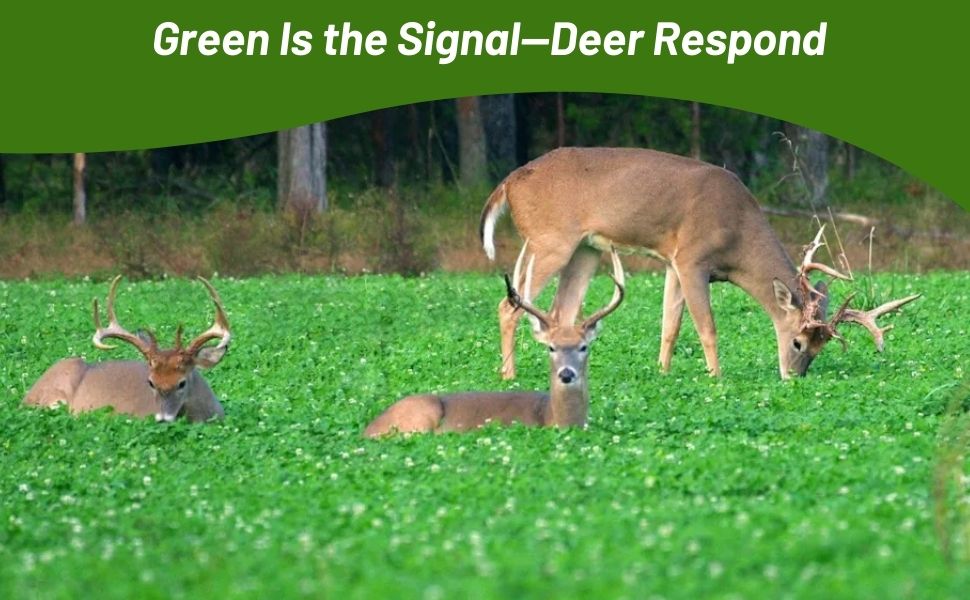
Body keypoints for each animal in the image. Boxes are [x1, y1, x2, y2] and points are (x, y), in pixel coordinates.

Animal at [363, 245, 625, 437]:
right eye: (551, 347)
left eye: (584, 347)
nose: (566, 373)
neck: (552, 417)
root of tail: (368, 430)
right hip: (421, 416)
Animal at [480, 147, 920, 380]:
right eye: (797, 340)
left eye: (822, 344)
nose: (794, 375)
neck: (738, 231)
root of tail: (508, 182)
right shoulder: (693, 258)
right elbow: (706, 326)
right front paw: (716, 377)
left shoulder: (673, 262)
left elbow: (670, 325)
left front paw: (662, 372)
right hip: (550, 239)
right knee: (509, 304)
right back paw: (508, 375)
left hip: (585, 249)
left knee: (561, 311)